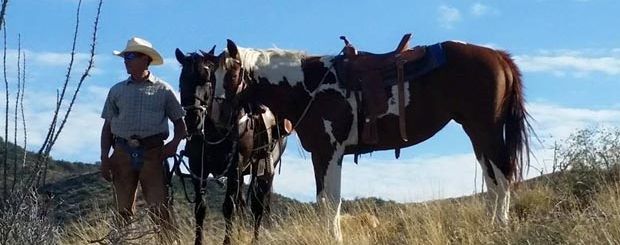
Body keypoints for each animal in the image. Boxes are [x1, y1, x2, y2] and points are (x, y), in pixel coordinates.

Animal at [174, 47, 288, 244]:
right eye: (182, 81)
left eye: (208, 80)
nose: (193, 120)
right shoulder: (198, 168)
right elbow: (200, 208)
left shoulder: (235, 168)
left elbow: (228, 207)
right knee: (243, 204)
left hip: (265, 170)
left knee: (258, 208)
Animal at [211, 34, 532, 241]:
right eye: (210, 76)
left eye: (233, 74)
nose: (217, 116)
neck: (310, 86)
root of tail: (498, 57)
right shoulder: (322, 154)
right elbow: (324, 201)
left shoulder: (330, 152)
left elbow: (331, 201)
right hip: (476, 132)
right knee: (492, 181)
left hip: (487, 130)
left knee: (502, 178)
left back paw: (500, 227)